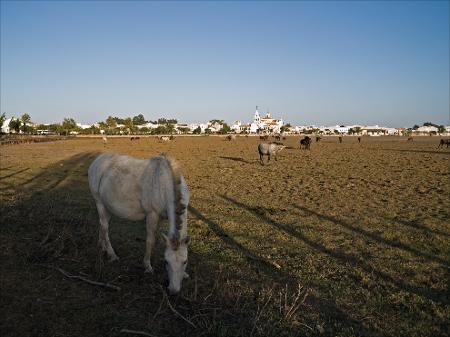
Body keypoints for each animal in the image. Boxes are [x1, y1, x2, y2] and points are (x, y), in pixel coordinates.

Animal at [88, 152, 190, 294]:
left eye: (185, 261)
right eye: (166, 262)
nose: (173, 290)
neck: (165, 183)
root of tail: (98, 159)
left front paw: (185, 275)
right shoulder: (152, 214)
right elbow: (150, 240)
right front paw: (147, 266)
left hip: (106, 206)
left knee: (102, 225)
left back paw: (101, 246)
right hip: (99, 203)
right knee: (105, 227)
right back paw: (112, 254)